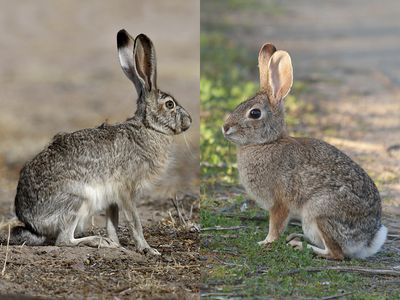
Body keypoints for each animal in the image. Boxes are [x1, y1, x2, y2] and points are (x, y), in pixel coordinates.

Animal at [7, 28, 191, 255]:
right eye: (170, 104)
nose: (189, 121)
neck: (148, 127)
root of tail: (31, 222)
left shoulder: (112, 197)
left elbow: (113, 222)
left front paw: (117, 245)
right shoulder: (126, 190)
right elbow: (134, 222)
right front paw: (147, 249)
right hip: (77, 201)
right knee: (63, 240)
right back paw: (98, 241)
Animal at [223, 42, 386, 260]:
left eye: (255, 113)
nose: (225, 127)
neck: (267, 142)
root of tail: (367, 240)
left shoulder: (280, 202)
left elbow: (275, 225)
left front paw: (265, 242)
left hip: (317, 212)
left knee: (337, 253)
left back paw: (300, 246)